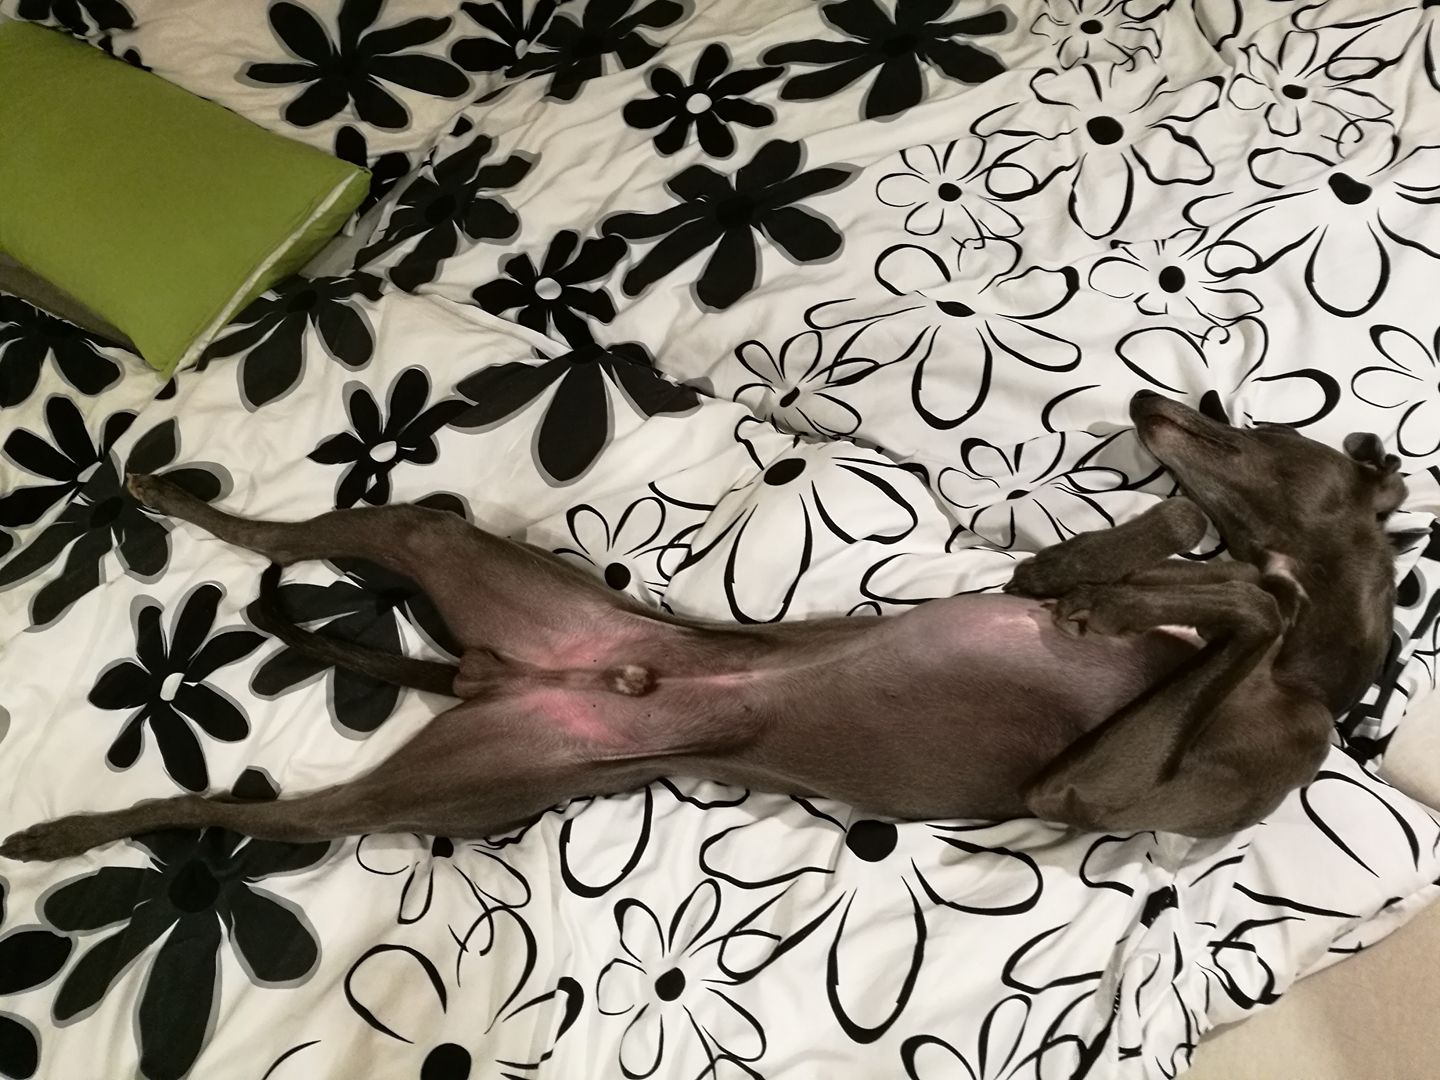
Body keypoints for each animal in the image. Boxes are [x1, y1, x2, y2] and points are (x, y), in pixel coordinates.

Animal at [0, 391, 1407, 861]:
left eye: (1261, 436)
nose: (1160, 406)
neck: (1314, 683)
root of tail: (492, 671)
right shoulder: (1068, 611)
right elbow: (1179, 568)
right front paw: (1129, 580)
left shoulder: (1088, 792)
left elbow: (1247, 593)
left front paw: (1146, 594)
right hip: (433, 549)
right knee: (277, 543)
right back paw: (152, 492)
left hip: (460, 777)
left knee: (241, 802)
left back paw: (56, 829)